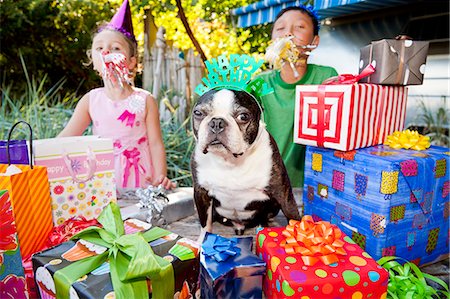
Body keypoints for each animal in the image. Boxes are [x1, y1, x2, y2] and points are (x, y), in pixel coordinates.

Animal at [192, 86, 300, 239]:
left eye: (243, 116)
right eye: (198, 113)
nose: (217, 122)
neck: (230, 161)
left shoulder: (283, 194)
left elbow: (292, 215)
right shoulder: (201, 192)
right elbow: (205, 223)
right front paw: (203, 240)